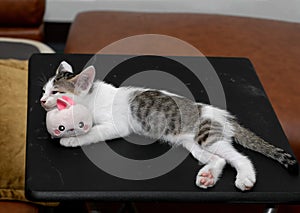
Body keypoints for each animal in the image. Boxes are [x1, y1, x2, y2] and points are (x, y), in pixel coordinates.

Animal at [41, 61, 298, 191]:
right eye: (44, 90)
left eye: (57, 92)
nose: (42, 101)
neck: (92, 97)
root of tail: (225, 116)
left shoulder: (117, 125)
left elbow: (93, 131)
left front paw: (71, 138)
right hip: (192, 144)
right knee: (219, 159)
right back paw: (208, 176)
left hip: (207, 135)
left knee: (239, 157)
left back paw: (245, 177)